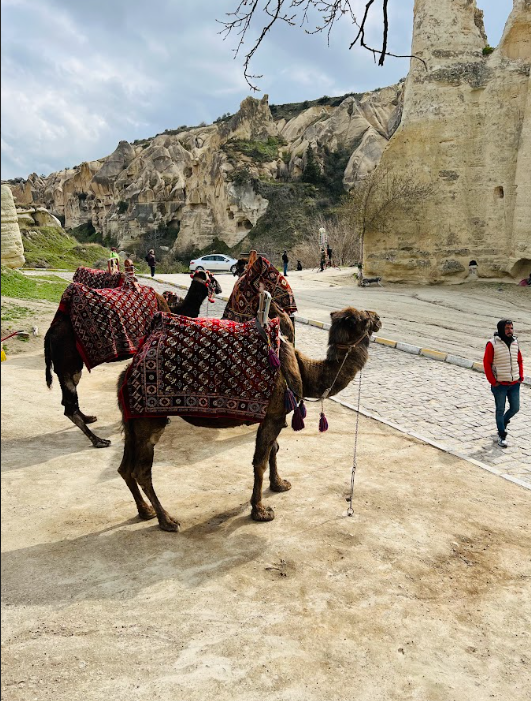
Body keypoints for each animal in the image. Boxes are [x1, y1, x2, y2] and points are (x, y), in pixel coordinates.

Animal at [116, 306, 382, 532]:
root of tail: (128, 371)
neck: (303, 369)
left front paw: (279, 484)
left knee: (125, 467)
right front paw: (261, 511)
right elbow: (260, 462)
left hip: (131, 421)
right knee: (141, 470)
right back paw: (167, 520)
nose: (379, 318)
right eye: (364, 318)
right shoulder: (273, 415)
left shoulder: (273, 416)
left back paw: (145, 511)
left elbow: (274, 449)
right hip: (149, 420)